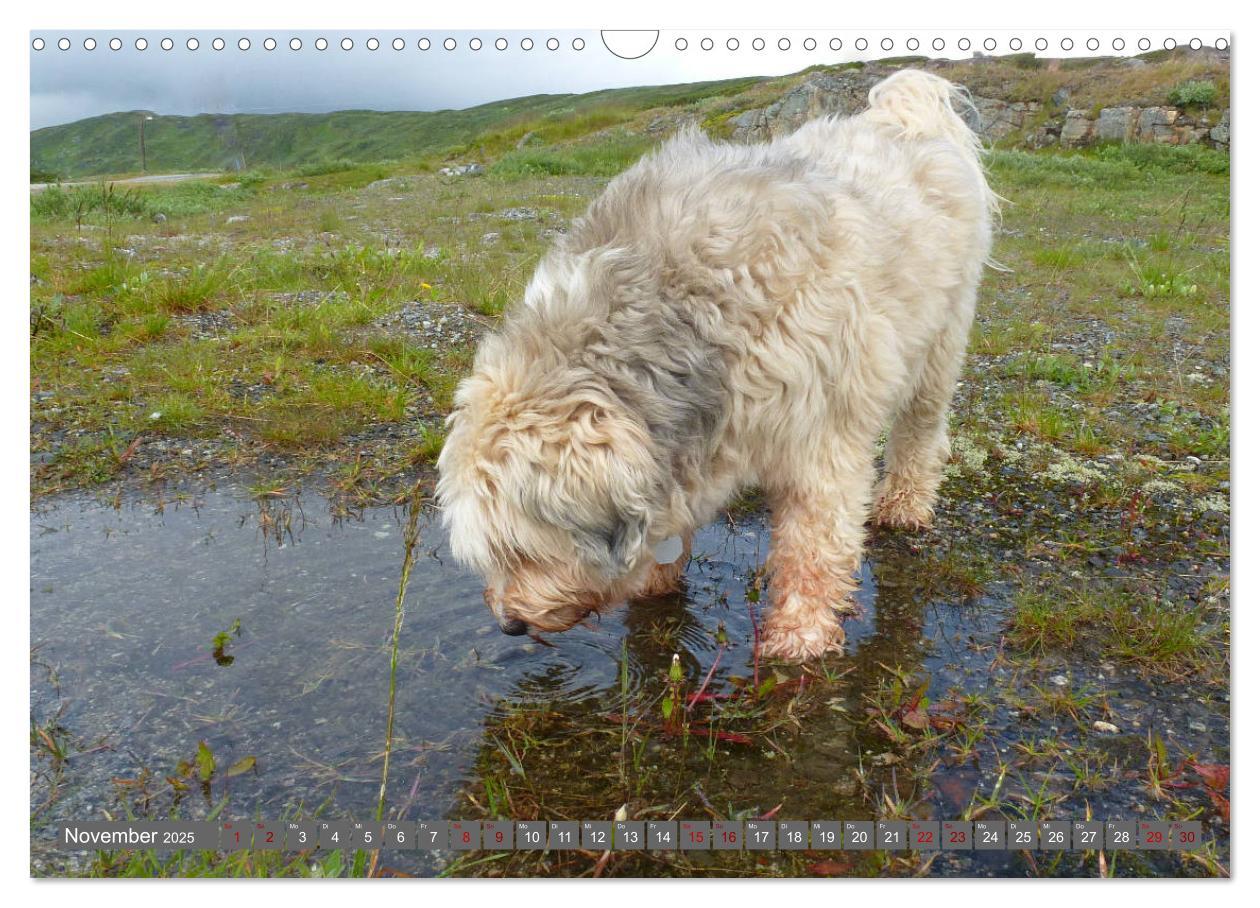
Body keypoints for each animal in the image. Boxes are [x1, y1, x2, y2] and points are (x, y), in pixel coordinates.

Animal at [438, 70, 997, 659]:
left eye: (520, 551)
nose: (509, 625)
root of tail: (902, 115)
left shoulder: (822, 437)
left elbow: (813, 544)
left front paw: (798, 635)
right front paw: (657, 578)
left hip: (941, 339)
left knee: (921, 430)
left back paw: (905, 503)